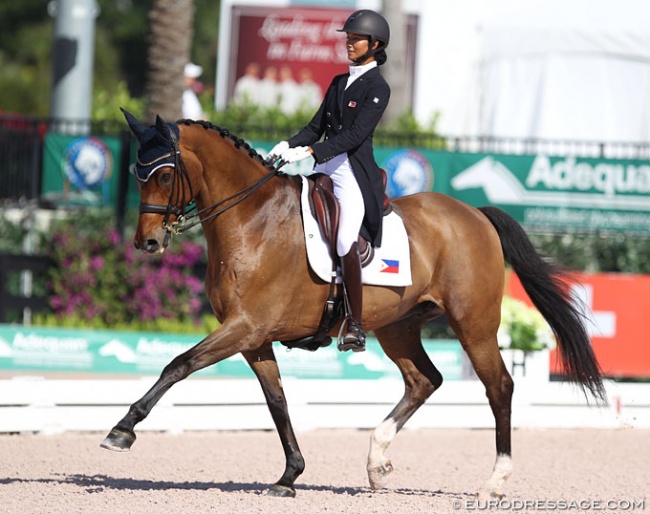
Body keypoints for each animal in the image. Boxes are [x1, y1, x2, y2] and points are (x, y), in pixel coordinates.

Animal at [100, 111, 604, 496]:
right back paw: (376, 464)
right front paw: (290, 475)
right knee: (424, 380)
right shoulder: (253, 337)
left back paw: (495, 482)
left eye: (166, 174)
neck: (253, 219)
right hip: (398, 326)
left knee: (498, 386)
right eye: (137, 175)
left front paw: (121, 431)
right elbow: (277, 401)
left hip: (473, 324)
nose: (147, 242)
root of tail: (475, 214)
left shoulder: (245, 326)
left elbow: (178, 365)